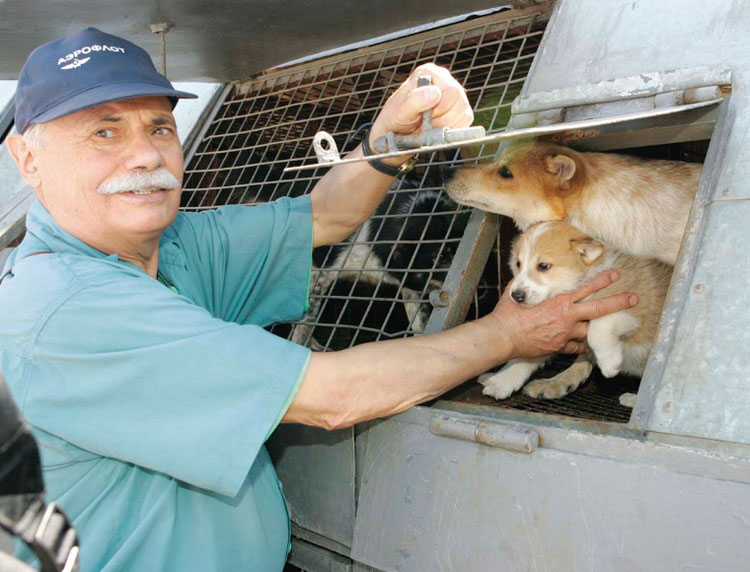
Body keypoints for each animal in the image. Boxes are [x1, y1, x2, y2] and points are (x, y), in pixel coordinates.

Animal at [482, 221, 676, 400]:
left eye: (543, 266)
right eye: (518, 264)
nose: (516, 295)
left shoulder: (633, 307)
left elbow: (597, 328)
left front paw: (610, 364)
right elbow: (524, 358)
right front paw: (501, 381)